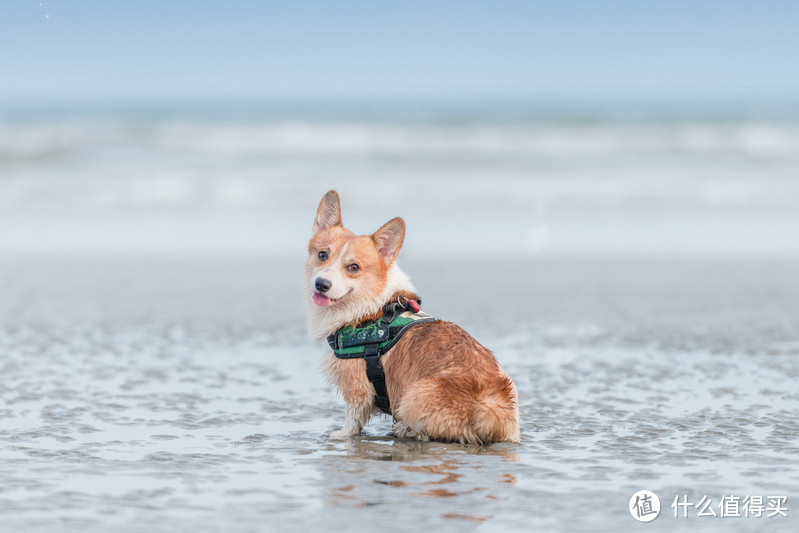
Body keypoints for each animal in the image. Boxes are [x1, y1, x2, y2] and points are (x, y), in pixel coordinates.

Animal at [304, 189, 520, 442]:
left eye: (354, 267)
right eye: (322, 255)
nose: (321, 284)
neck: (370, 305)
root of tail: (492, 408)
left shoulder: (357, 388)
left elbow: (353, 419)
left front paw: (341, 435)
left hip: (413, 395)